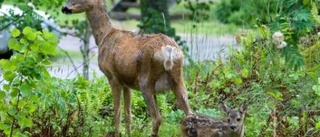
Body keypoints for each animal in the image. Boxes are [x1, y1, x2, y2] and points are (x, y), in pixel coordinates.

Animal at [61, 0, 194, 136]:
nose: (64, 8)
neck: (104, 36)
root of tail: (169, 50)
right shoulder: (126, 83)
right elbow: (128, 113)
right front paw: (128, 133)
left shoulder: (112, 77)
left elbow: (117, 112)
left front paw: (117, 133)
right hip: (178, 78)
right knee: (190, 114)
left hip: (145, 81)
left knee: (157, 118)